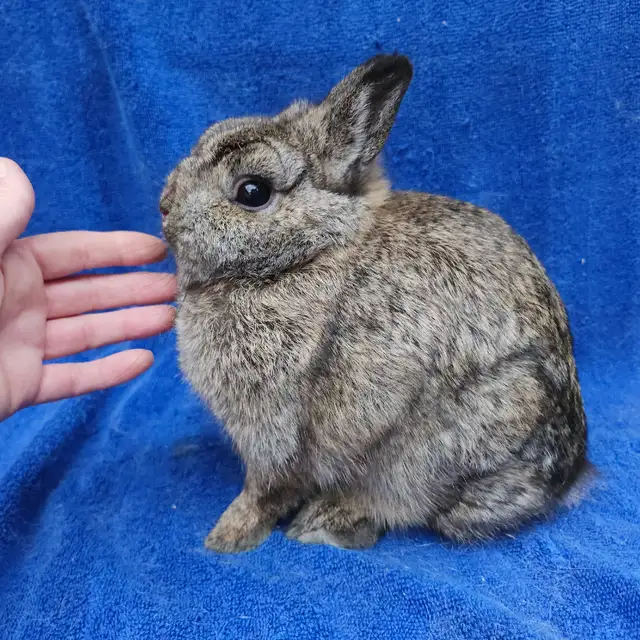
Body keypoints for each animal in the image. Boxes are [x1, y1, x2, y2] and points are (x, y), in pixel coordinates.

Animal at [160, 54, 589, 553]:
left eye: (253, 192)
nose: (165, 207)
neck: (307, 251)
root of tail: (569, 474)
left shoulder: (273, 431)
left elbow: (264, 491)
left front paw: (226, 537)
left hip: (435, 457)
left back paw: (326, 520)